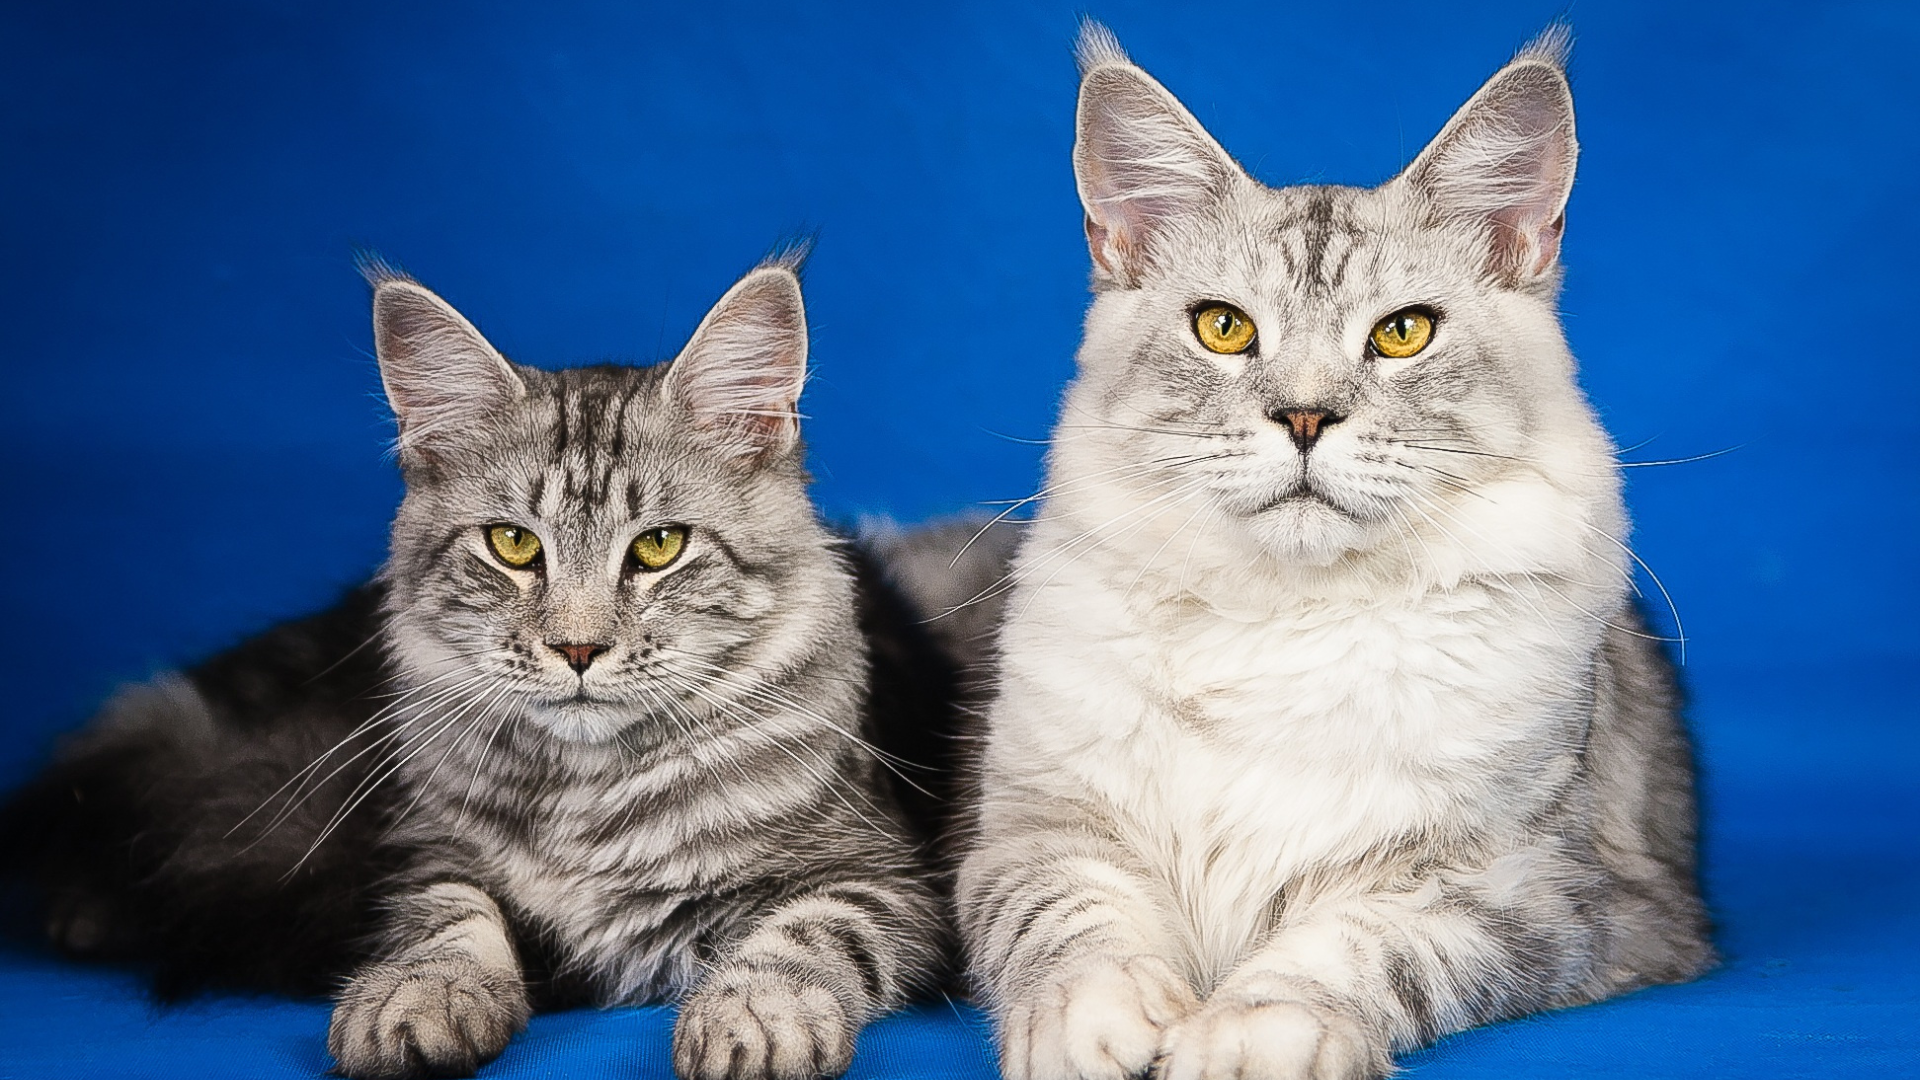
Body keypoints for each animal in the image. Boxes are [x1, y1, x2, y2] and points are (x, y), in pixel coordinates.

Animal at [1, 253, 944, 1076]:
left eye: (661, 547)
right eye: (513, 545)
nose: (577, 648)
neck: (586, 800)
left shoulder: (881, 875)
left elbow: (805, 931)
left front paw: (753, 1014)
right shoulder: (425, 851)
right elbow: (450, 917)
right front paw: (419, 999)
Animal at [952, 25, 1720, 1076]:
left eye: (1402, 334)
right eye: (1223, 328)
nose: (1306, 417)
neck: (1287, 615)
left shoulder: (1529, 892)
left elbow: (1356, 943)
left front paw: (1246, 1034)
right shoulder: (1032, 832)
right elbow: (1069, 922)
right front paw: (1091, 1022)